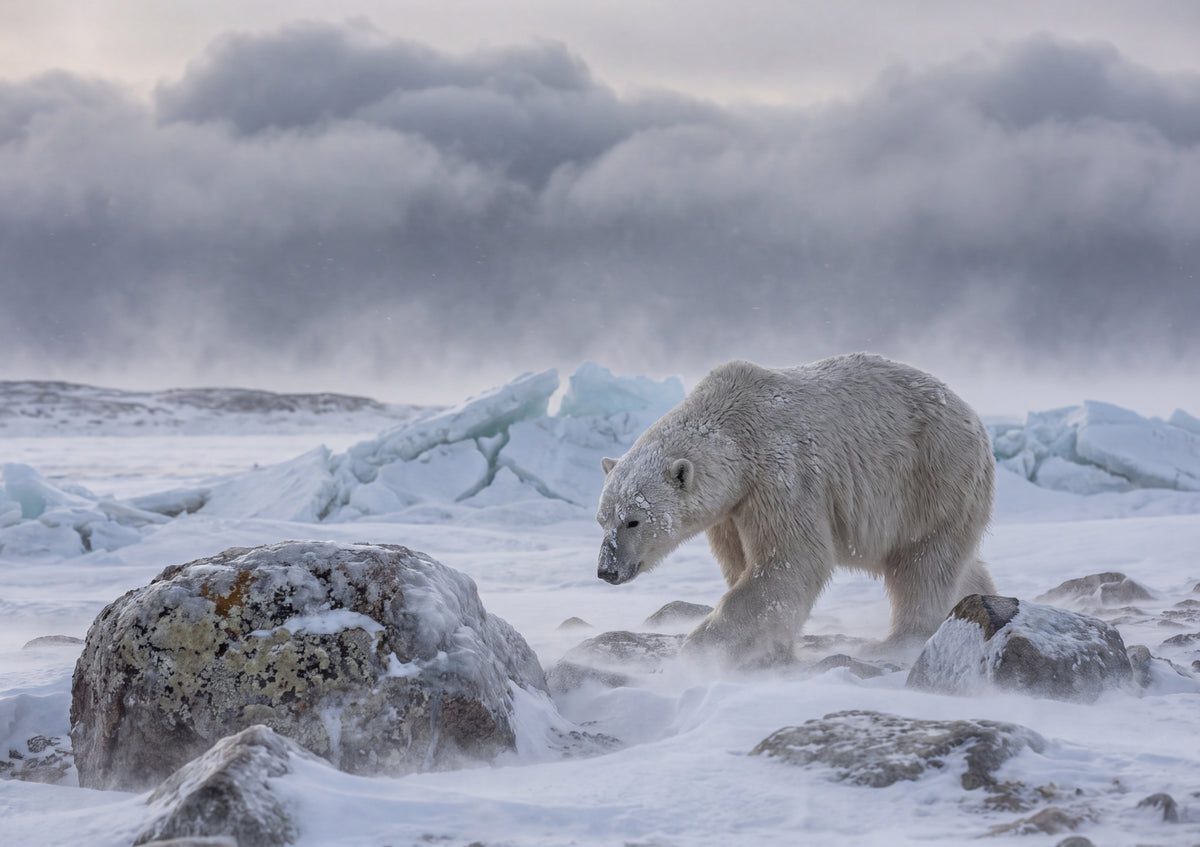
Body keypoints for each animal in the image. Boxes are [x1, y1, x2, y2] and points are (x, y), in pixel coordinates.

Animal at [595, 353, 996, 664]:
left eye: (633, 521)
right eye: (601, 520)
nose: (606, 570)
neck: (736, 436)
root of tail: (972, 416)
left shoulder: (781, 474)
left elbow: (790, 559)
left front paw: (702, 648)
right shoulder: (731, 508)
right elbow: (741, 562)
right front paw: (771, 649)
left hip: (932, 475)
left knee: (923, 562)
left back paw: (900, 642)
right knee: (958, 564)